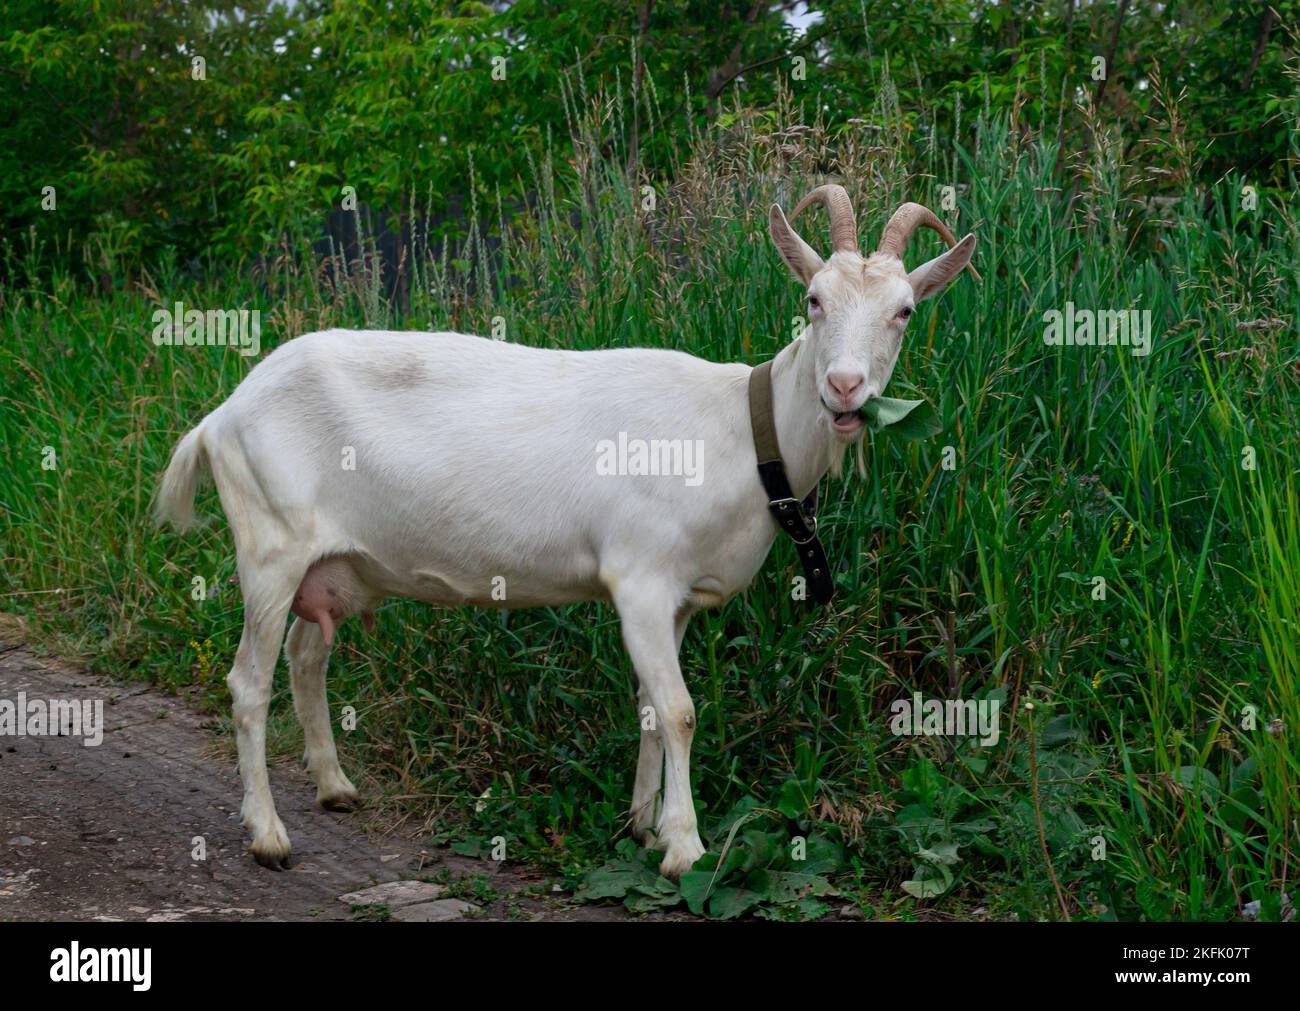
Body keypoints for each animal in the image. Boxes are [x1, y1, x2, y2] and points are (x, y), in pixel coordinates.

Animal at [157, 187, 977, 873]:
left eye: (905, 310)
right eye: (812, 299)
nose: (845, 388)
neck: (742, 432)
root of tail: (222, 414)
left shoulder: (675, 600)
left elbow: (648, 708)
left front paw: (641, 825)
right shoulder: (639, 578)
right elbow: (679, 711)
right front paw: (683, 847)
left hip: (331, 563)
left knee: (306, 658)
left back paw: (333, 786)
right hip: (269, 545)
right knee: (249, 681)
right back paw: (268, 834)